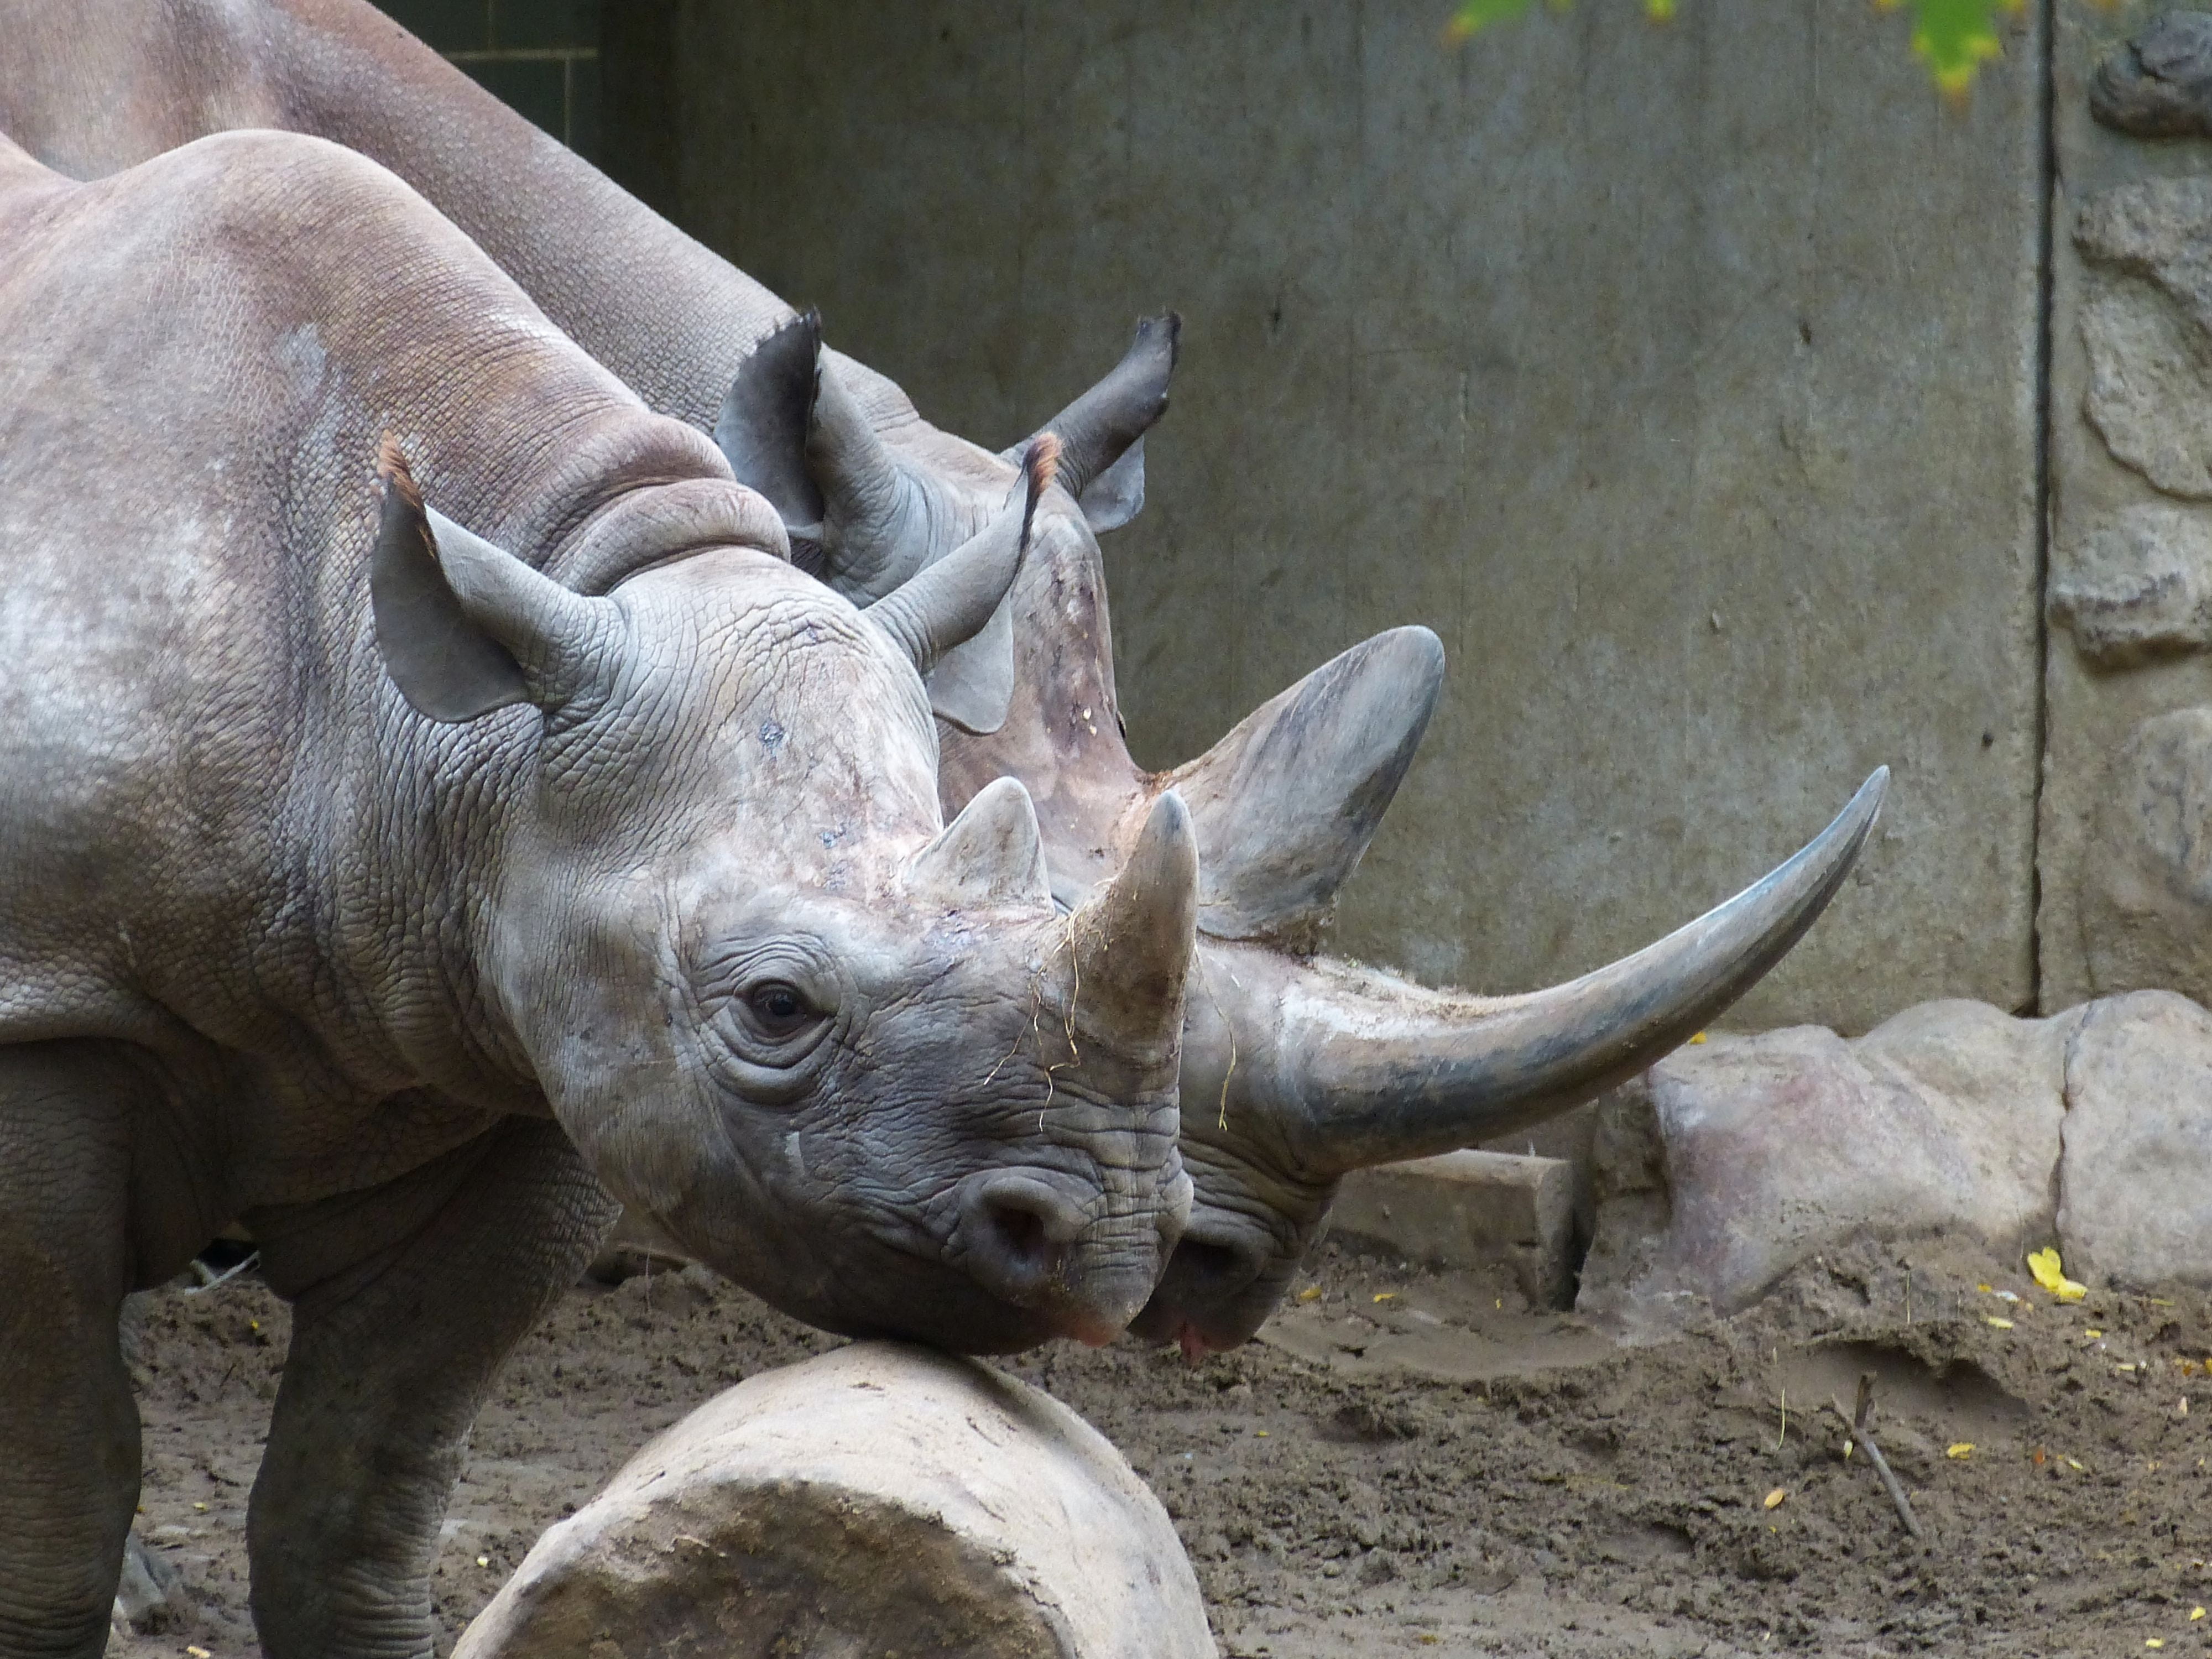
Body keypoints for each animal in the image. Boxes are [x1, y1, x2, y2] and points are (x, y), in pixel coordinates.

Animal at [0, 129, 1198, 1658]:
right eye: (774, 1006)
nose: (1115, 1240)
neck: (428, 735)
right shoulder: (45, 1009)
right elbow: (62, 1482)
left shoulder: (513, 1037)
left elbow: (362, 1479)